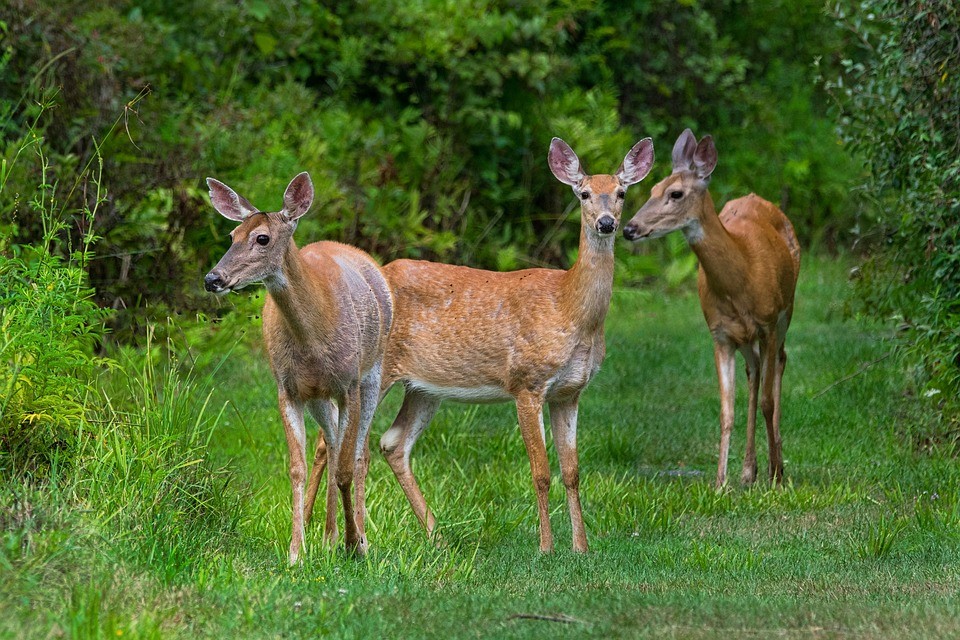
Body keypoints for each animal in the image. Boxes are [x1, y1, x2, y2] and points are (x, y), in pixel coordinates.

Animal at [203, 172, 393, 563]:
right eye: (232, 235)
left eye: (262, 238)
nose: (213, 279)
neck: (313, 339)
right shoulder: (287, 388)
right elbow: (296, 469)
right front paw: (296, 552)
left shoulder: (348, 384)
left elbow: (348, 468)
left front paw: (355, 543)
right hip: (319, 395)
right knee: (332, 444)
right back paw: (328, 536)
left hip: (374, 372)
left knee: (360, 453)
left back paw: (358, 538)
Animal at [349, 137, 655, 553]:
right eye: (584, 193)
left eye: (622, 192)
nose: (606, 223)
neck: (570, 309)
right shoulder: (526, 382)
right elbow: (541, 472)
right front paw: (546, 547)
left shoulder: (570, 392)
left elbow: (572, 471)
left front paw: (582, 547)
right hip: (375, 373)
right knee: (345, 445)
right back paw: (351, 540)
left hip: (424, 387)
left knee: (392, 443)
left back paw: (436, 537)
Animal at [622, 129, 801, 489]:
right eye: (652, 189)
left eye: (675, 193)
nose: (629, 229)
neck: (742, 277)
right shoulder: (719, 334)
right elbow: (725, 410)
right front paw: (720, 483)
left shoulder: (768, 322)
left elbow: (768, 401)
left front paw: (775, 474)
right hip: (744, 336)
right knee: (754, 369)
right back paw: (748, 471)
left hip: (786, 309)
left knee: (779, 363)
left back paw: (775, 467)